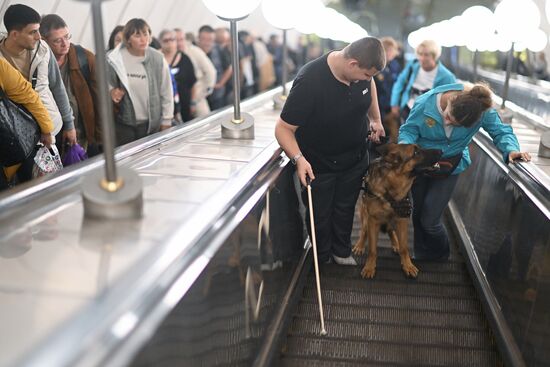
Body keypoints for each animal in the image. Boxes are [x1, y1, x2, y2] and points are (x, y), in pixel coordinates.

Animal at [354, 143, 444, 278]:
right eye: (415, 152)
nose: (441, 151)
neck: (390, 191)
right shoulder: (373, 221)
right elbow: (372, 249)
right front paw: (369, 267)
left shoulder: (402, 220)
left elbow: (404, 248)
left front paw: (407, 265)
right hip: (365, 217)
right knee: (364, 231)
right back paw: (360, 245)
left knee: (391, 231)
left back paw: (396, 243)